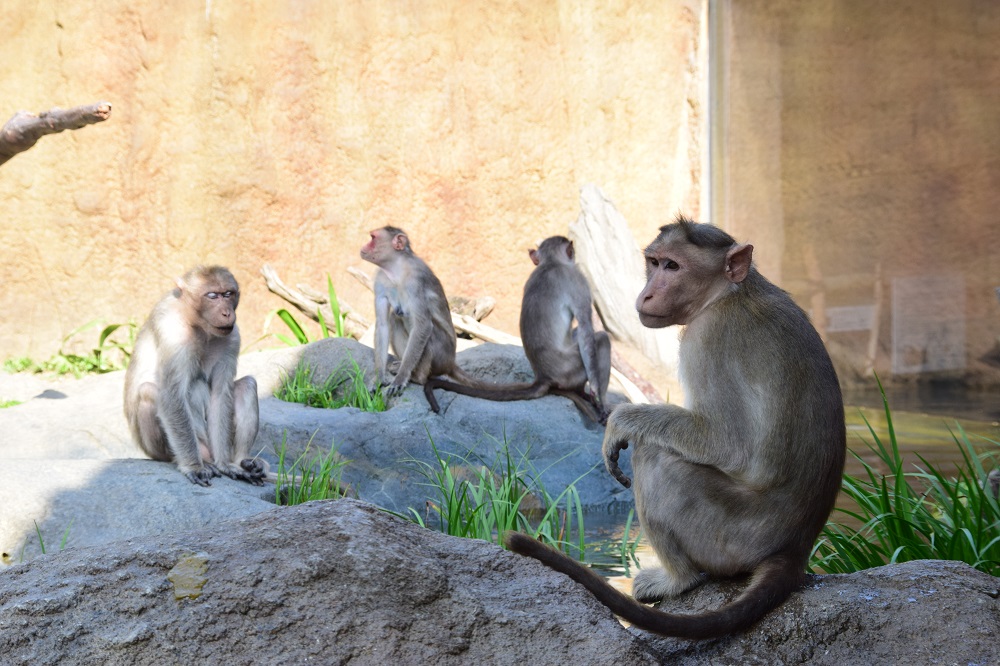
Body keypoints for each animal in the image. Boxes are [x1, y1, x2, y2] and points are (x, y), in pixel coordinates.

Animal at [422, 233, 608, 420]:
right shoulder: (578, 279)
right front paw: (597, 395)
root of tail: (543, 377)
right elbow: (585, 329)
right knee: (601, 339)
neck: (551, 262)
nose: (574, 255)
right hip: (569, 369)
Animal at [508, 215, 844, 636]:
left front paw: (621, 421)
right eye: (654, 263)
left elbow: (726, 443)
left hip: (729, 538)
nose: (646, 294)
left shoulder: (708, 339)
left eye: (673, 266)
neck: (728, 293)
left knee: (657, 459)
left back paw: (678, 579)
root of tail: (794, 552)